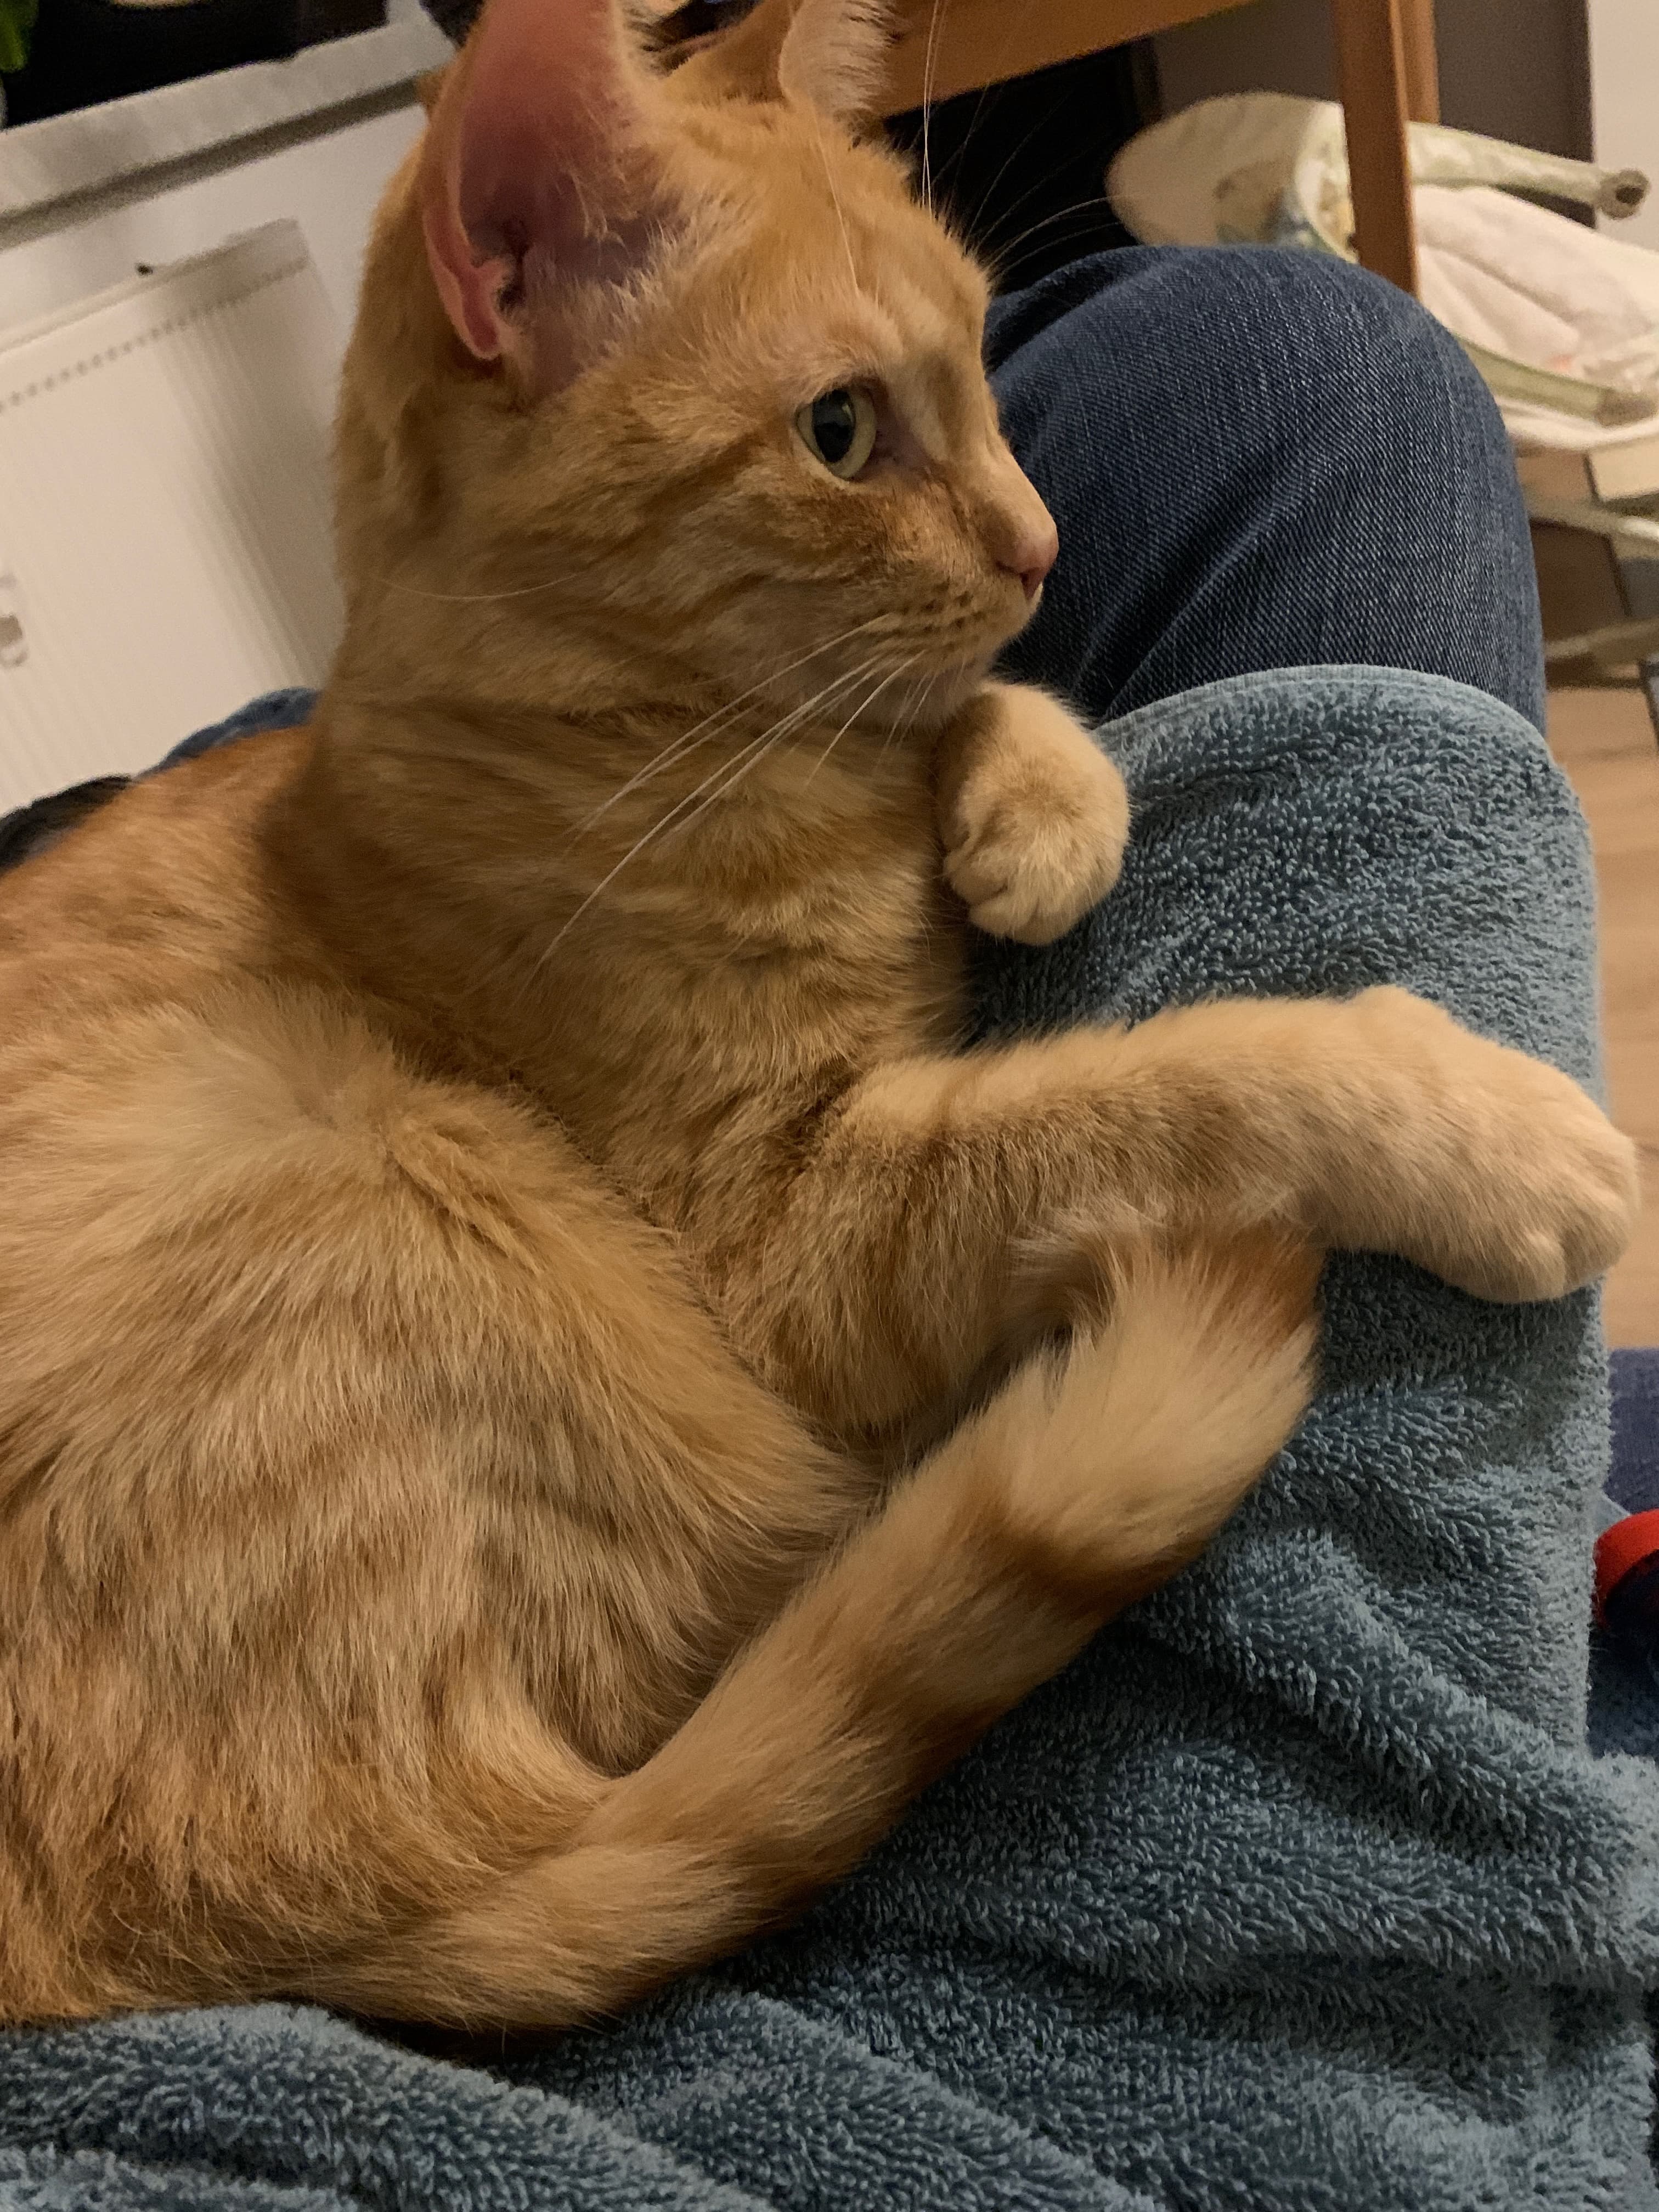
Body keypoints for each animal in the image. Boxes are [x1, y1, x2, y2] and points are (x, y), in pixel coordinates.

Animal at [0, 0, 1636, 2032]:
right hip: (399, 1195)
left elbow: (981, 702)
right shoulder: (803, 1246)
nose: (1041, 539)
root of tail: (312, 1946)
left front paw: (1038, 809)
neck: (664, 757)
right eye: (842, 434)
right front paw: (1480, 1132)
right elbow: (1182, 1086)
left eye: (988, 370)